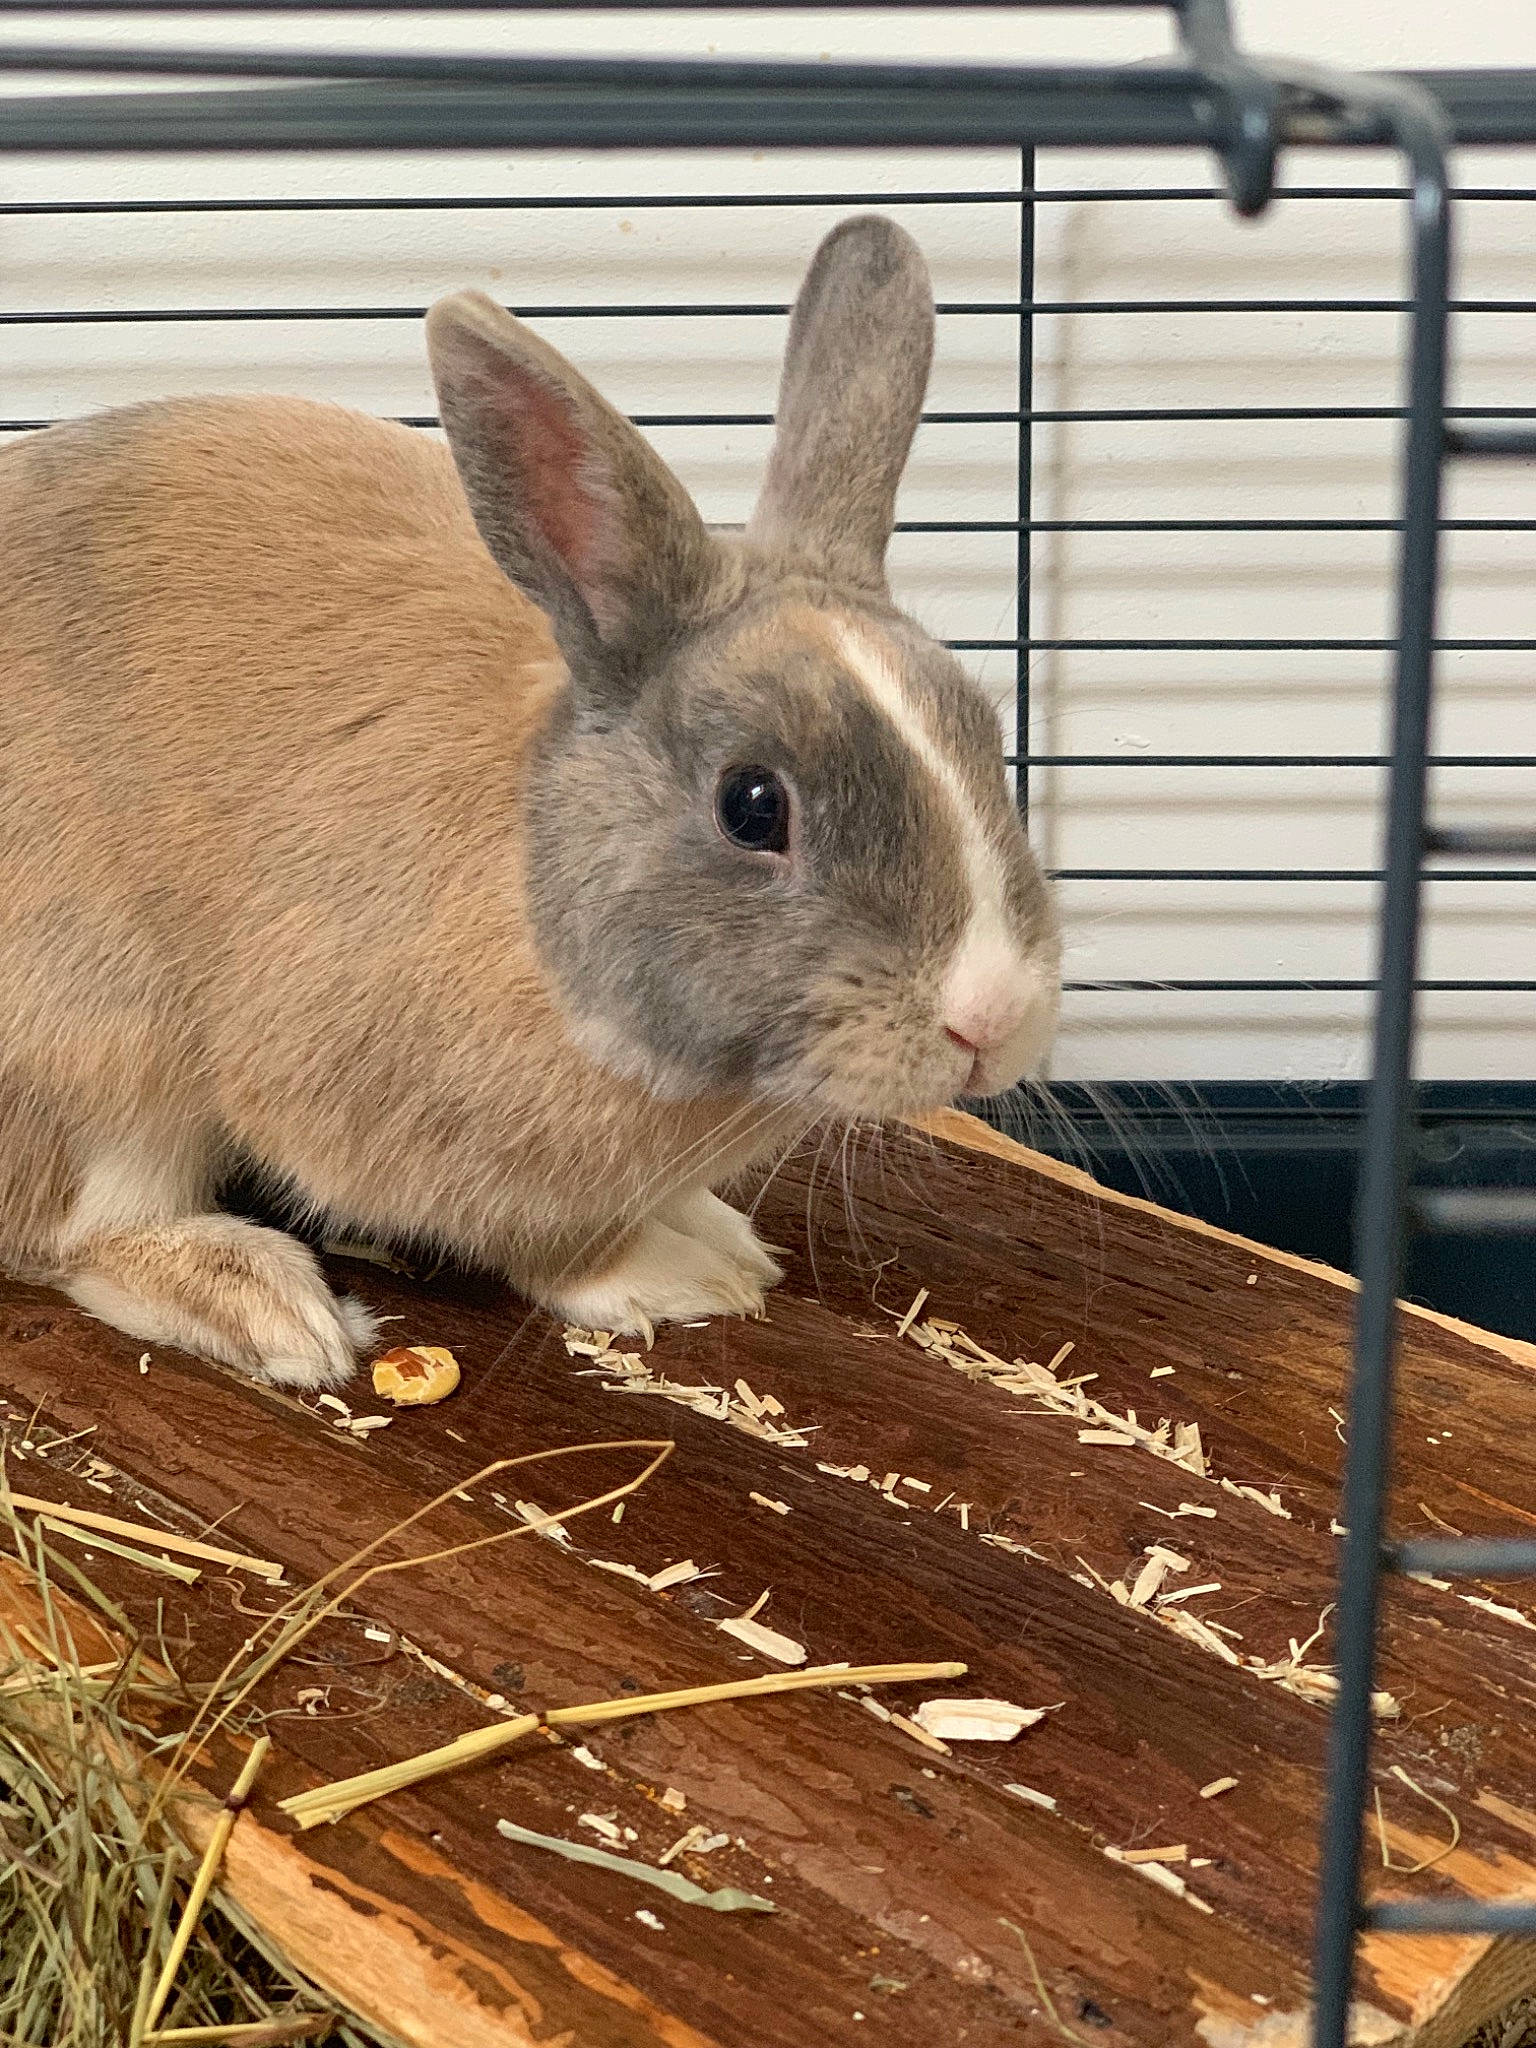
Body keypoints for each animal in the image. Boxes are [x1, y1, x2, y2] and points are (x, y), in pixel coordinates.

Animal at [0, 213, 1059, 1389]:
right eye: (753, 806)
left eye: (985, 736)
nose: (994, 1019)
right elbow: (549, 1240)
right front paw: (677, 1274)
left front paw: (720, 1235)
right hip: (98, 1048)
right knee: (71, 1231)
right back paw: (266, 1305)